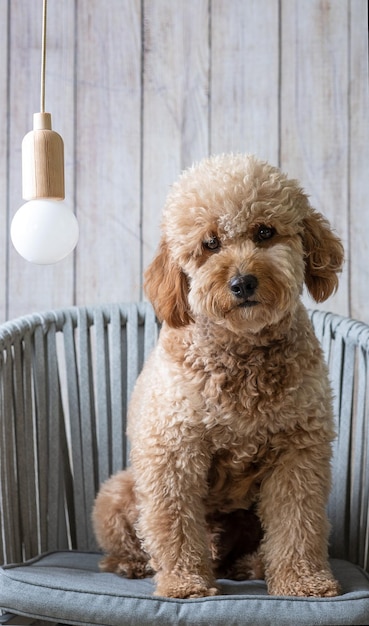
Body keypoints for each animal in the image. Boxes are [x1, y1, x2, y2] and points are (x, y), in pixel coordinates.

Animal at [92, 154, 342, 596]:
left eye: (264, 231)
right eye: (209, 244)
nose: (242, 283)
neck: (242, 354)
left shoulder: (299, 452)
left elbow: (299, 522)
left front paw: (303, 581)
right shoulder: (172, 451)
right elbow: (173, 523)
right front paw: (184, 582)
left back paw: (249, 566)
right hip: (118, 492)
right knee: (134, 539)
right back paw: (135, 564)